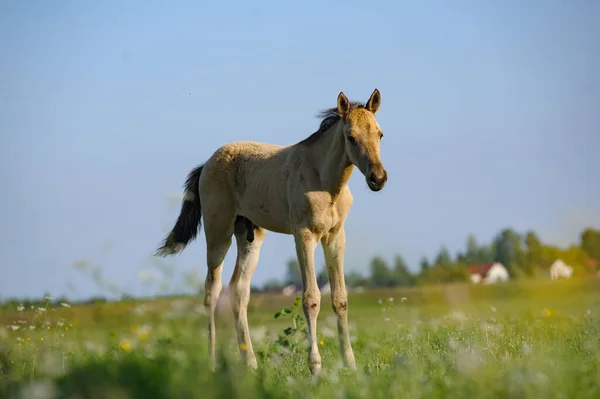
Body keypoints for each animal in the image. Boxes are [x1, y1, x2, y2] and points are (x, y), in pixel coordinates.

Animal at [156, 89, 390, 376]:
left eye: (380, 134)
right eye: (351, 138)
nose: (378, 178)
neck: (324, 182)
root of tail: (206, 164)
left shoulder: (335, 237)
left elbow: (340, 298)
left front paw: (351, 365)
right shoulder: (303, 235)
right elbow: (311, 297)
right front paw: (315, 368)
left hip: (250, 235)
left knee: (238, 290)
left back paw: (250, 363)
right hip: (217, 230)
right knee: (212, 290)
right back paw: (211, 363)